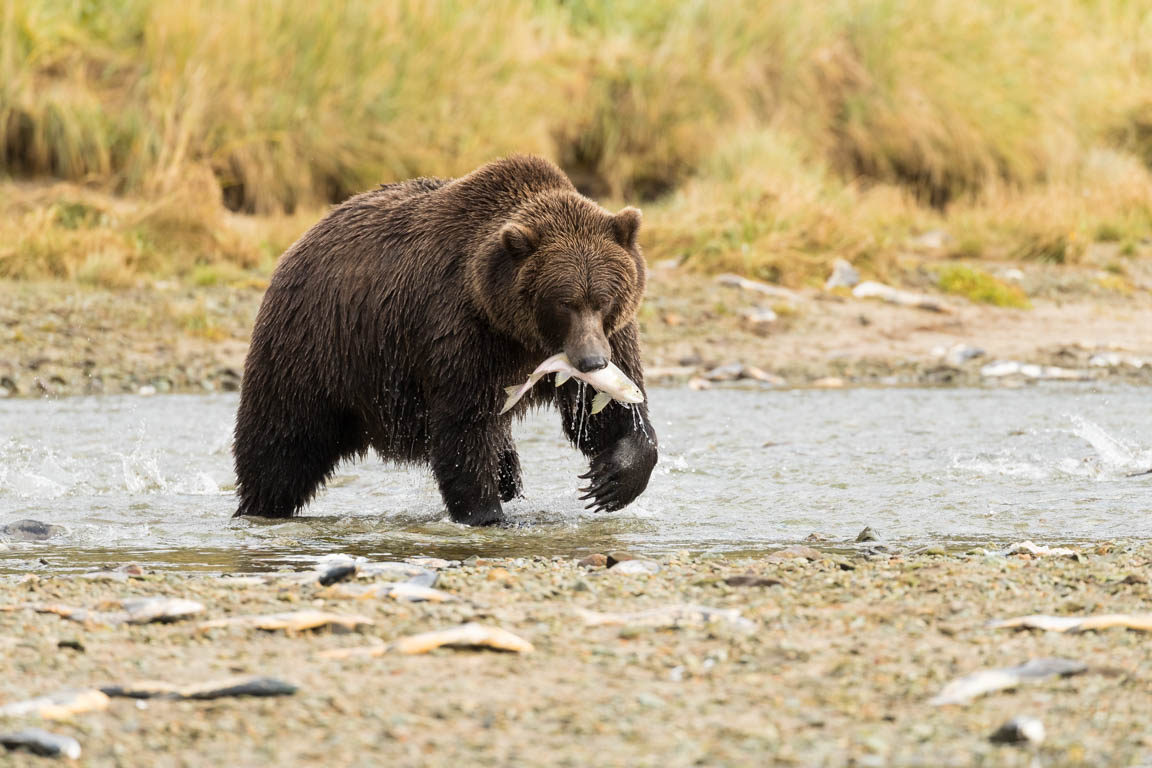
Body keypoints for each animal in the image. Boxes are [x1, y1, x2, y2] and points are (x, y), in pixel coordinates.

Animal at [231, 153, 658, 525]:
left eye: (603, 299)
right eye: (564, 302)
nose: (592, 361)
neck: (516, 329)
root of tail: (298, 244)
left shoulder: (610, 335)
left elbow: (608, 412)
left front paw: (611, 479)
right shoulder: (461, 331)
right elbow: (464, 426)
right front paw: (486, 514)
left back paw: (508, 475)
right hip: (316, 349)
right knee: (283, 443)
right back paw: (260, 507)